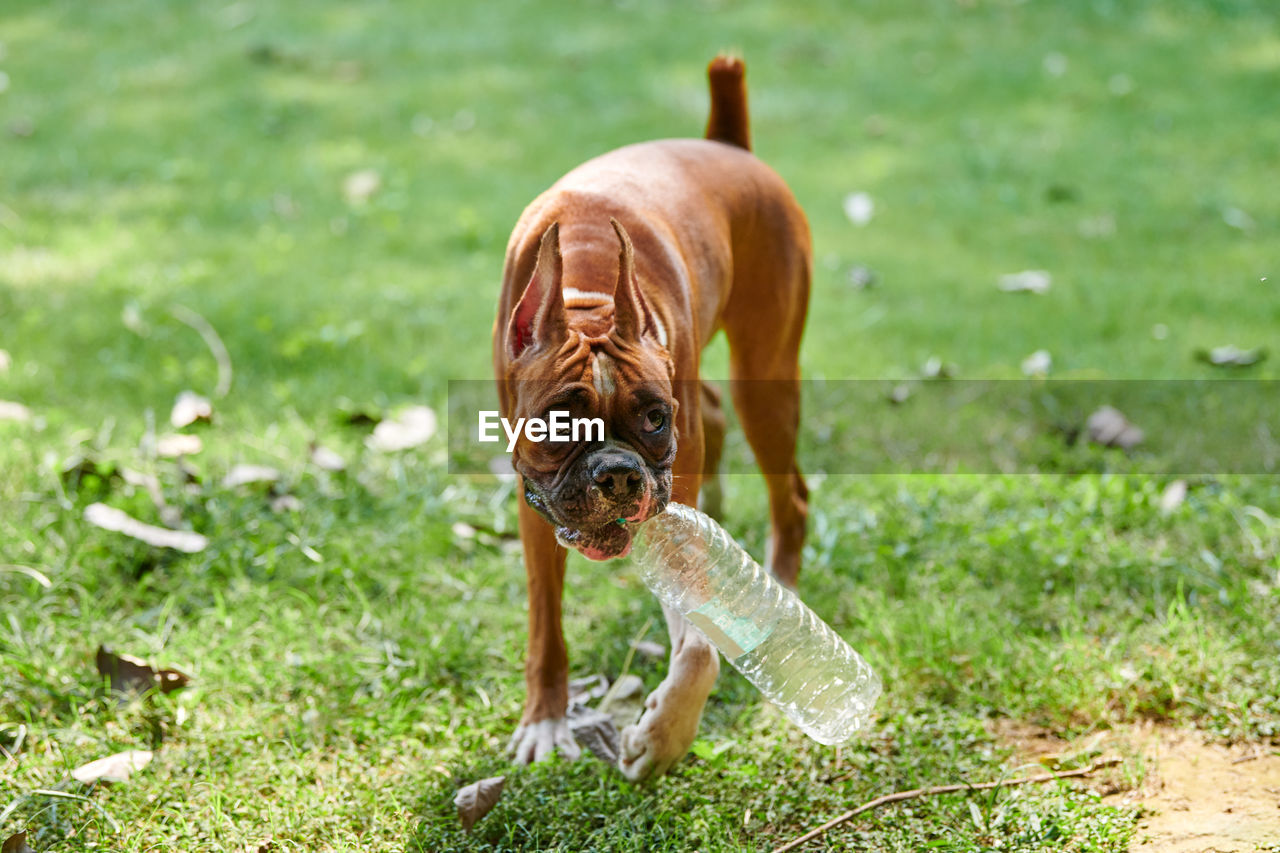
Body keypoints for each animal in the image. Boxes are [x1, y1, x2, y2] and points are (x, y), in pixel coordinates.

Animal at [491, 56, 808, 778]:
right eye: (558, 423)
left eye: (655, 419)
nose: (617, 473)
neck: (586, 291)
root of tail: (727, 144)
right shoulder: (532, 508)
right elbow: (546, 627)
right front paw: (546, 719)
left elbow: (697, 653)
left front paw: (662, 737)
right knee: (715, 413)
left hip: (765, 381)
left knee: (793, 495)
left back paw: (775, 594)